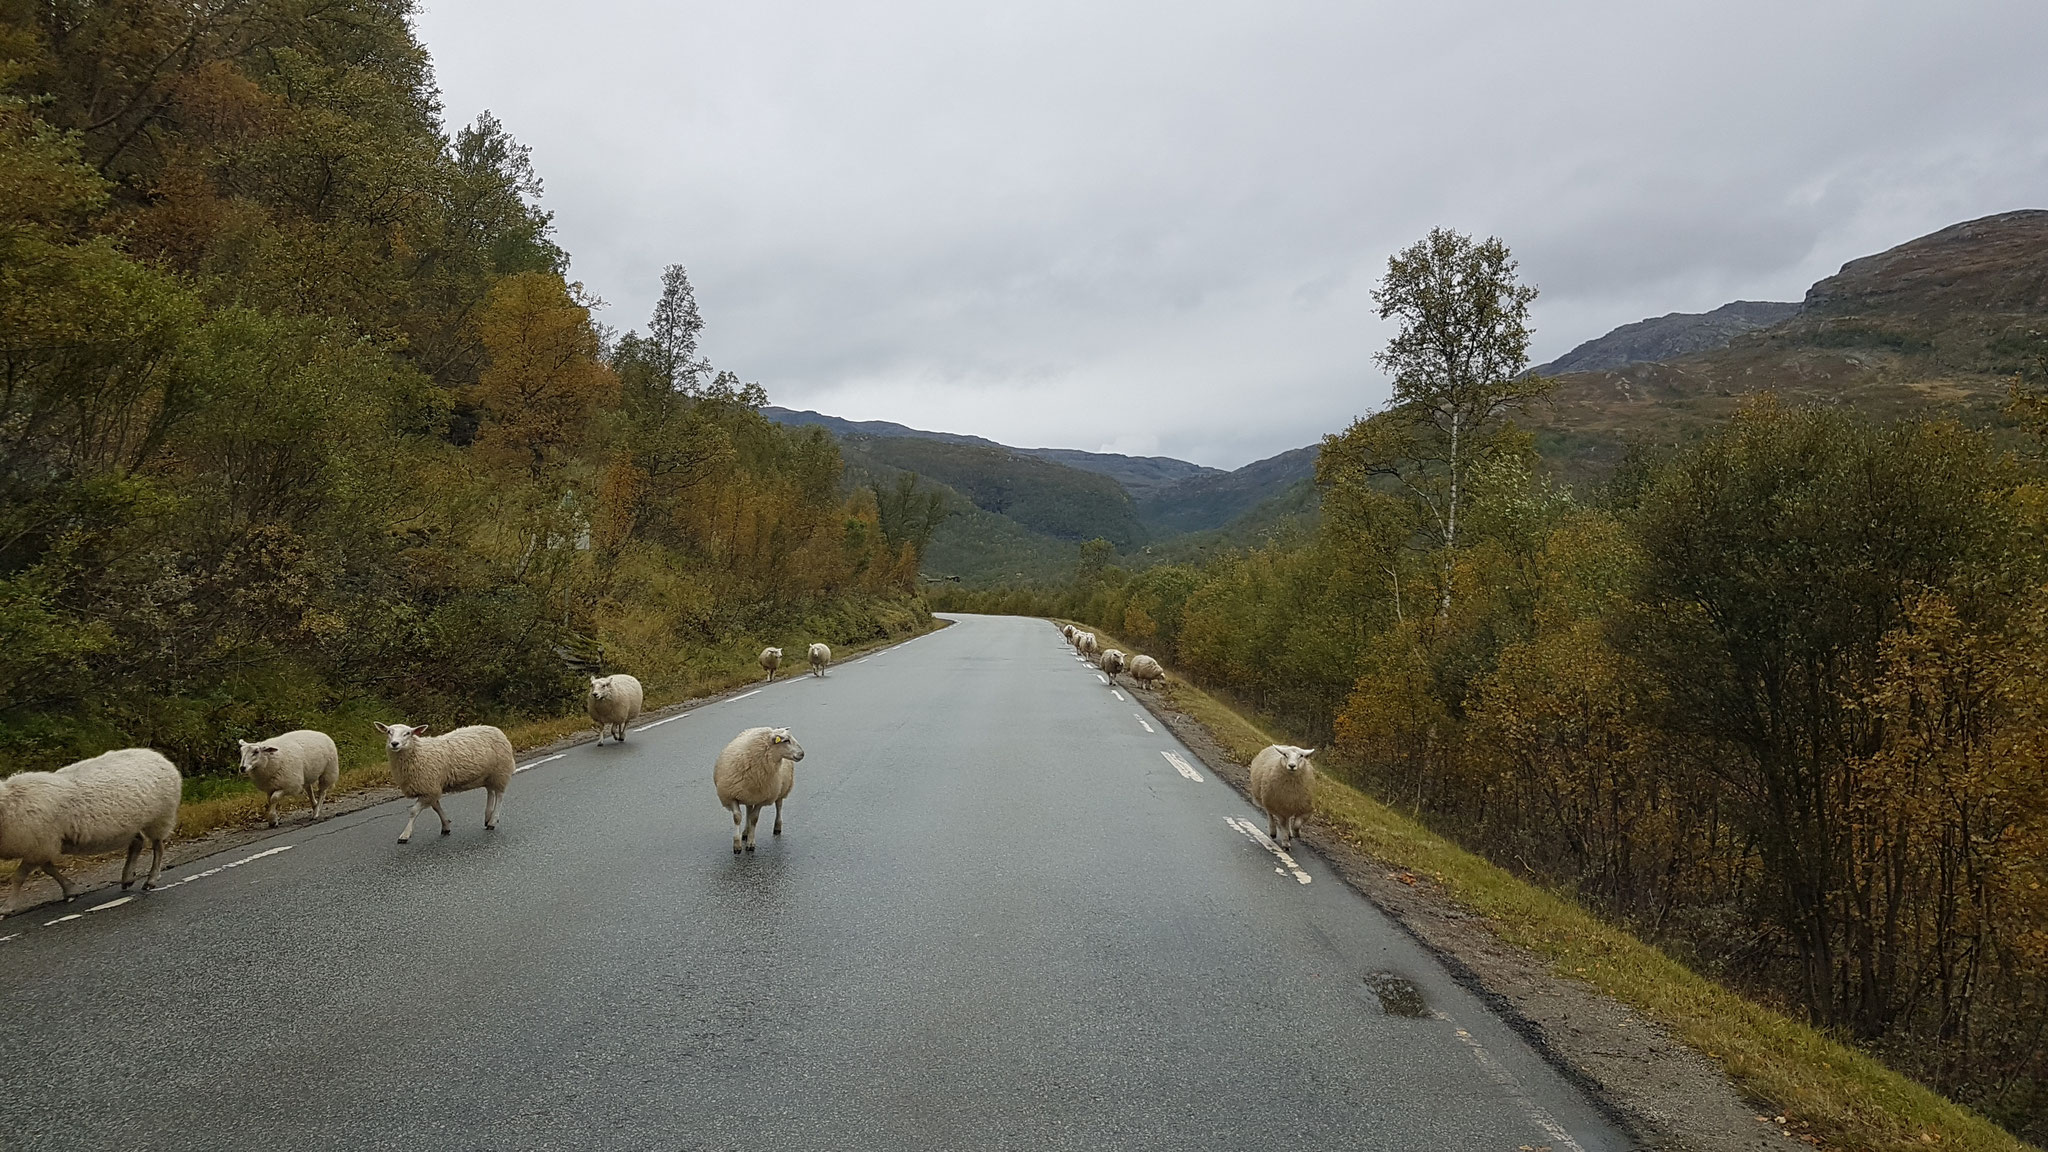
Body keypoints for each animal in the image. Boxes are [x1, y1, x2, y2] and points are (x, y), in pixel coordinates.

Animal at [0, 746, 182, 914]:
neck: (8, 803)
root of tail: (159, 757)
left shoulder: (39, 846)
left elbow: (19, 876)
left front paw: (7, 908)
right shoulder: (42, 847)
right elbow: (48, 869)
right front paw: (70, 890)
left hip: (160, 817)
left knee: (158, 848)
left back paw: (150, 880)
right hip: (130, 824)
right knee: (137, 843)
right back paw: (127, 877)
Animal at [376, 721, 520, 840]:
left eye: (407, 733)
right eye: (389, 732)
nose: (394, 744)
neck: (418, 752)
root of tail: (496, 729)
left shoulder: (429, 788)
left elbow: (413, 811)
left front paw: (405, 835)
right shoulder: (431, 787)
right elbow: (436, 807)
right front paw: (445, 826)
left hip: (500, 771)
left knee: (499, 795)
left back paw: (492, 821)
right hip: (488, 774)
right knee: (490, 791)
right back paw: (487, 816)